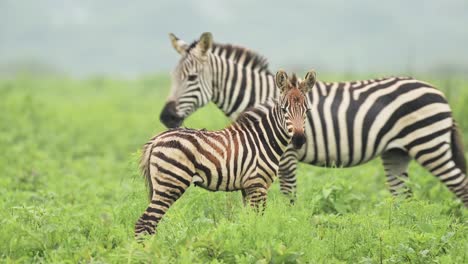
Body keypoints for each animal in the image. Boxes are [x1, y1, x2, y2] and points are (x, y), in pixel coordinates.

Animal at [135, 69, 318, 235]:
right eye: (284, 109)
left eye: (307, 111)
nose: (299, 139)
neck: (263, 139)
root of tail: (156, 139)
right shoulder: (257, 184)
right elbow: (257, 220)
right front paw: (256, 240)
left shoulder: (247, 187)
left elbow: (248, 220)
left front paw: (247, 239)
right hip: (171, 183)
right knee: (144, 223)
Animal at [161, 32, 468, 206]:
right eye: (171, 77)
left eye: (191, 78)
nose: (166, 117)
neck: (260, 96)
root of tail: (439, 92)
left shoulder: (284, 156)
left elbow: (289, 195)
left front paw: (287, 223)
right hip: (397, 152)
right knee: (403, 198)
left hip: (429, 145)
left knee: (461, 187)